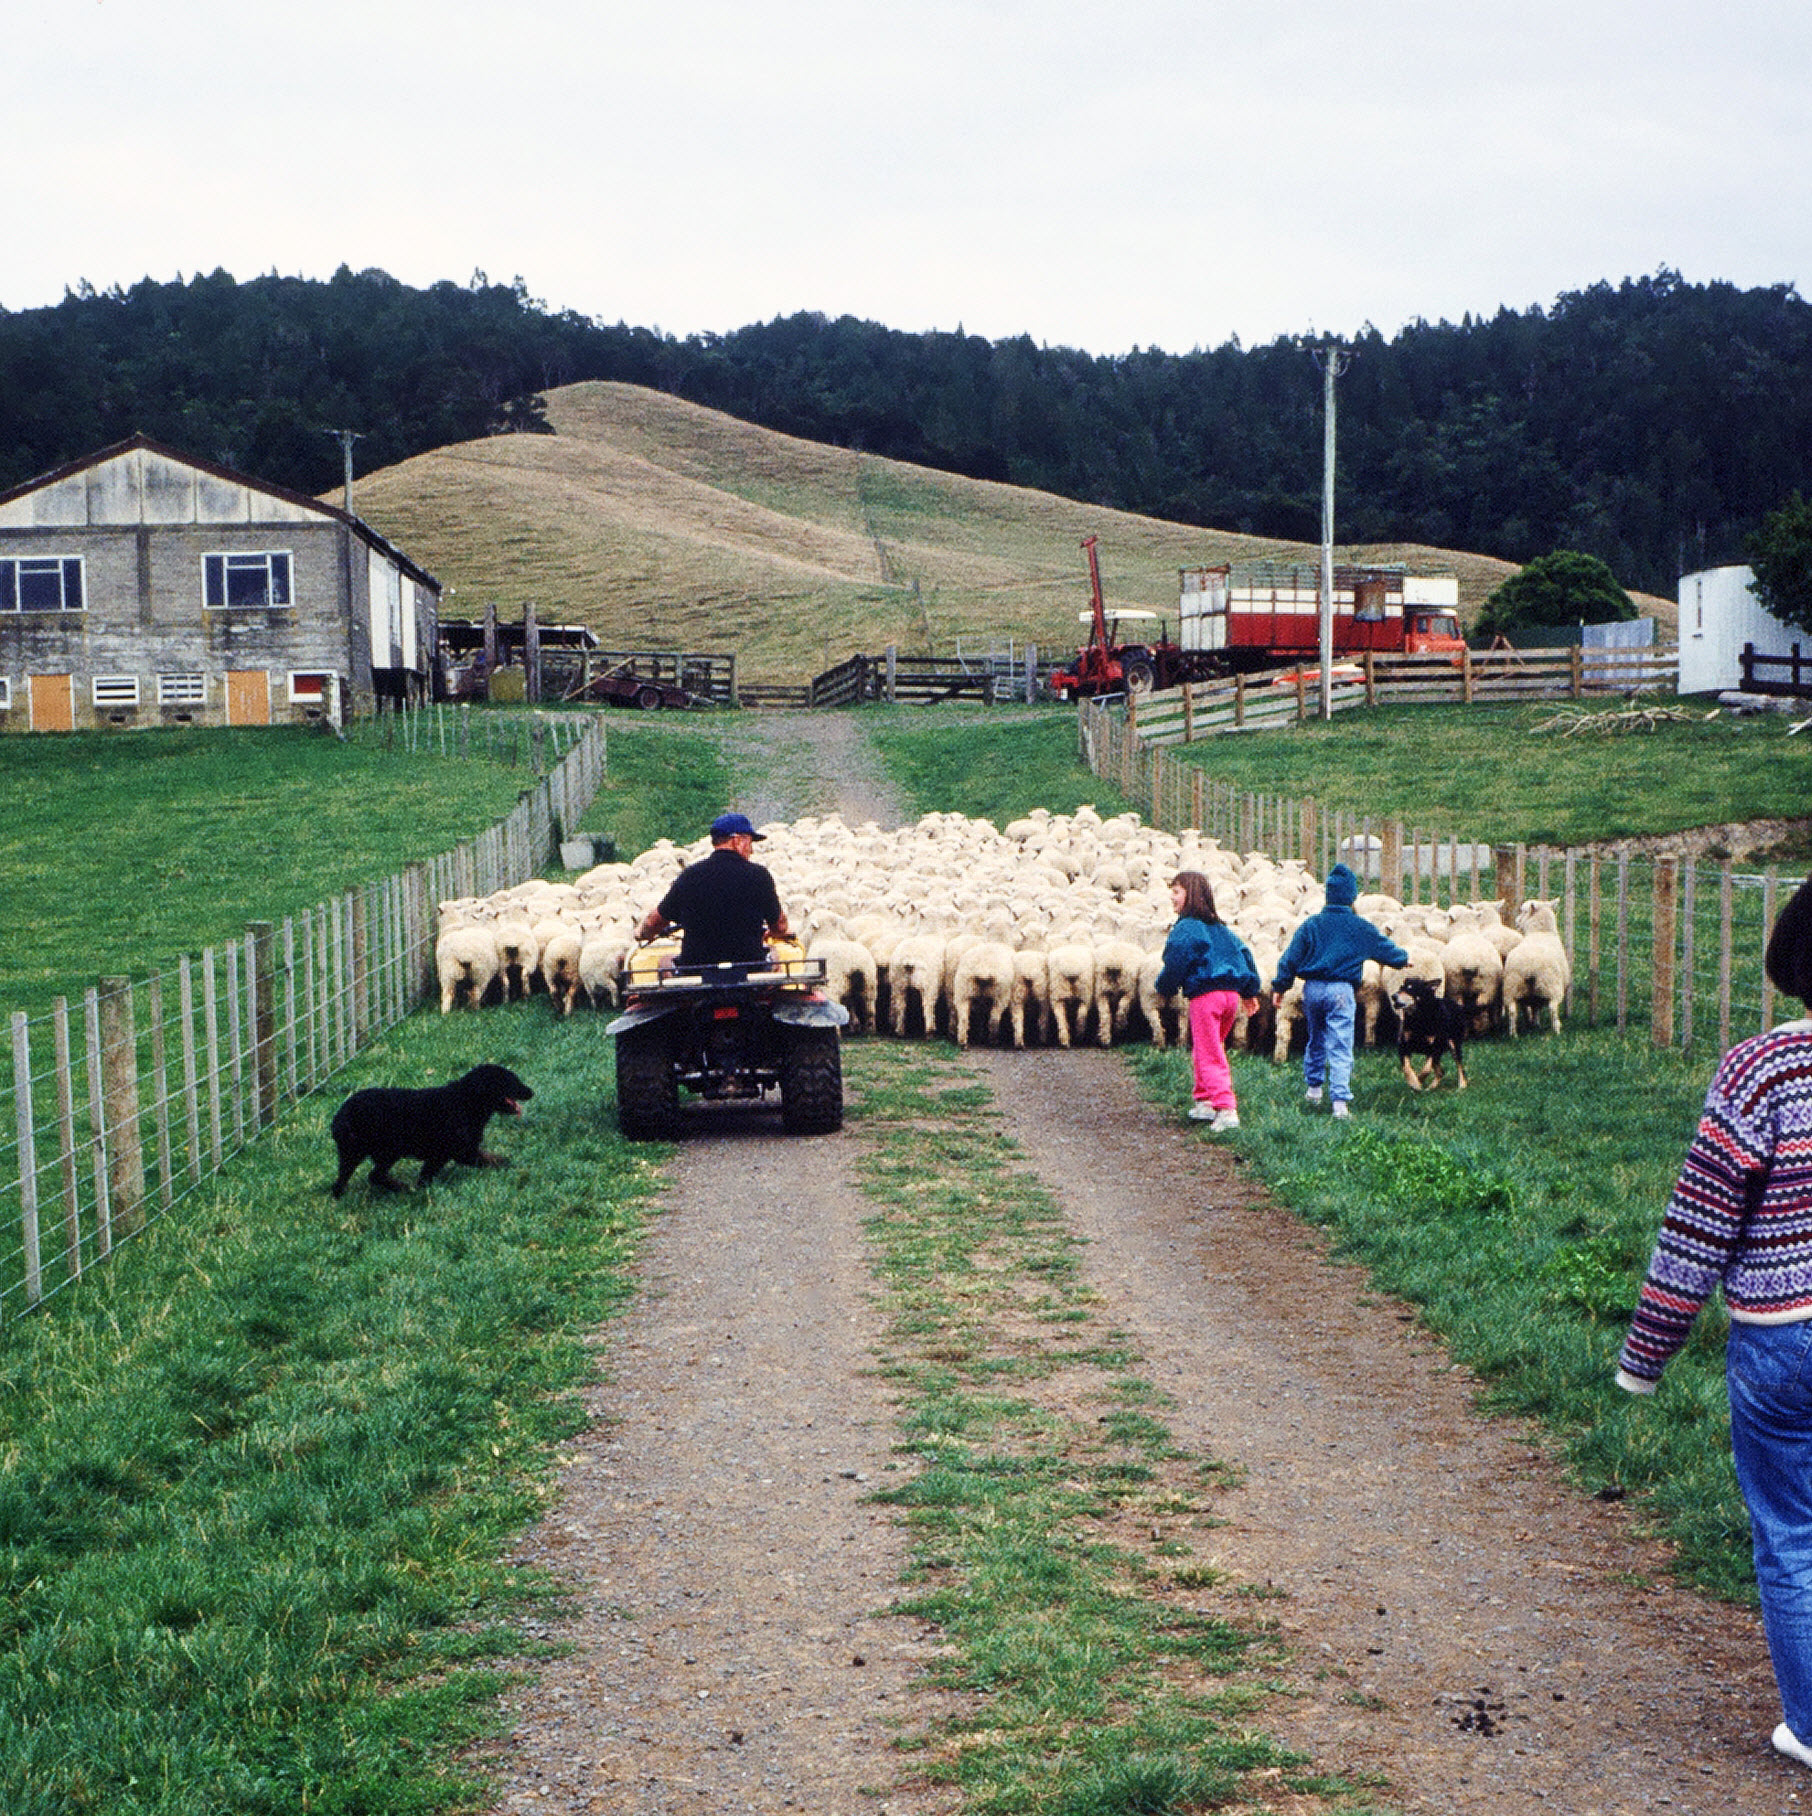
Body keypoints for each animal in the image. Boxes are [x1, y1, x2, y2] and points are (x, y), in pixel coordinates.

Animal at [330, 1060, 533, 1198]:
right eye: (511, 1081)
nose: (531, 1092)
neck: (466, 1101)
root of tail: (340, 1116)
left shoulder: (448, 1154)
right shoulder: (459, 1152)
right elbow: (489, 1160)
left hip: (351, 1154)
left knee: (342, 1181)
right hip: (388, 1151)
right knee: (375, 1175)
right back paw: (403, 1188)